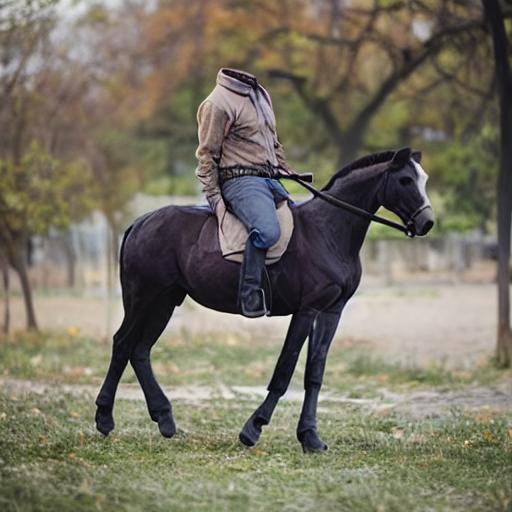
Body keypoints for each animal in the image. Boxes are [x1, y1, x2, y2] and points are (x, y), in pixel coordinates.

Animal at [95, 147, 432, 452]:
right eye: (404, 180)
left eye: (423, 179)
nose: (427, 223)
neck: (328, 231)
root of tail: (140, 223)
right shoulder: (306, 310)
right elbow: (285, 369)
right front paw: (253, 429)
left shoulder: (331, 312)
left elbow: (315, 373)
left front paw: (310, 437)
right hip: (143, 297)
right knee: (123, 343)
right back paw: (104, 419)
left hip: (165, 301)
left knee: (140, 350)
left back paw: (164, 419)